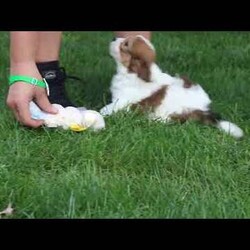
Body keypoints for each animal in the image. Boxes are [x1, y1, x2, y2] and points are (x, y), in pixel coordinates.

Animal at [100, 35, 244, 138]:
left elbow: (107, 109)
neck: (133, 72)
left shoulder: (122, 101)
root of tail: (204, 111)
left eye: (126, 45)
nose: (113, 38)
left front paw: (101, 113)